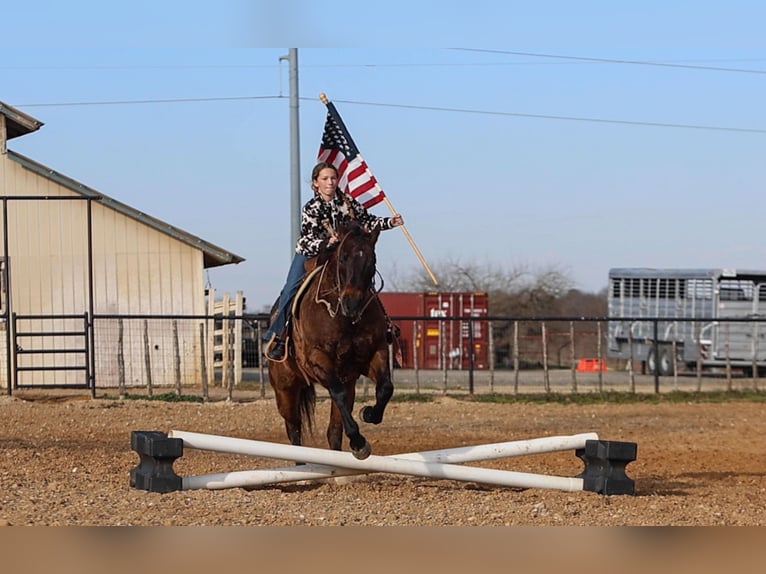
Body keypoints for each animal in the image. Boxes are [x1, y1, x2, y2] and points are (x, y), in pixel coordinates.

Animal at [268, 220, 396, 464]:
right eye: (343, 257)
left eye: (372, 260)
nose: (352, 303)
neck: (344, 319)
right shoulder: (318, 360)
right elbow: (336, 392)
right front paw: (358, 441)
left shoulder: (374, 354)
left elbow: (385, 388)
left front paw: (368, 414)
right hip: (285, 389)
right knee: (294, 430)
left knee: (333, 429)